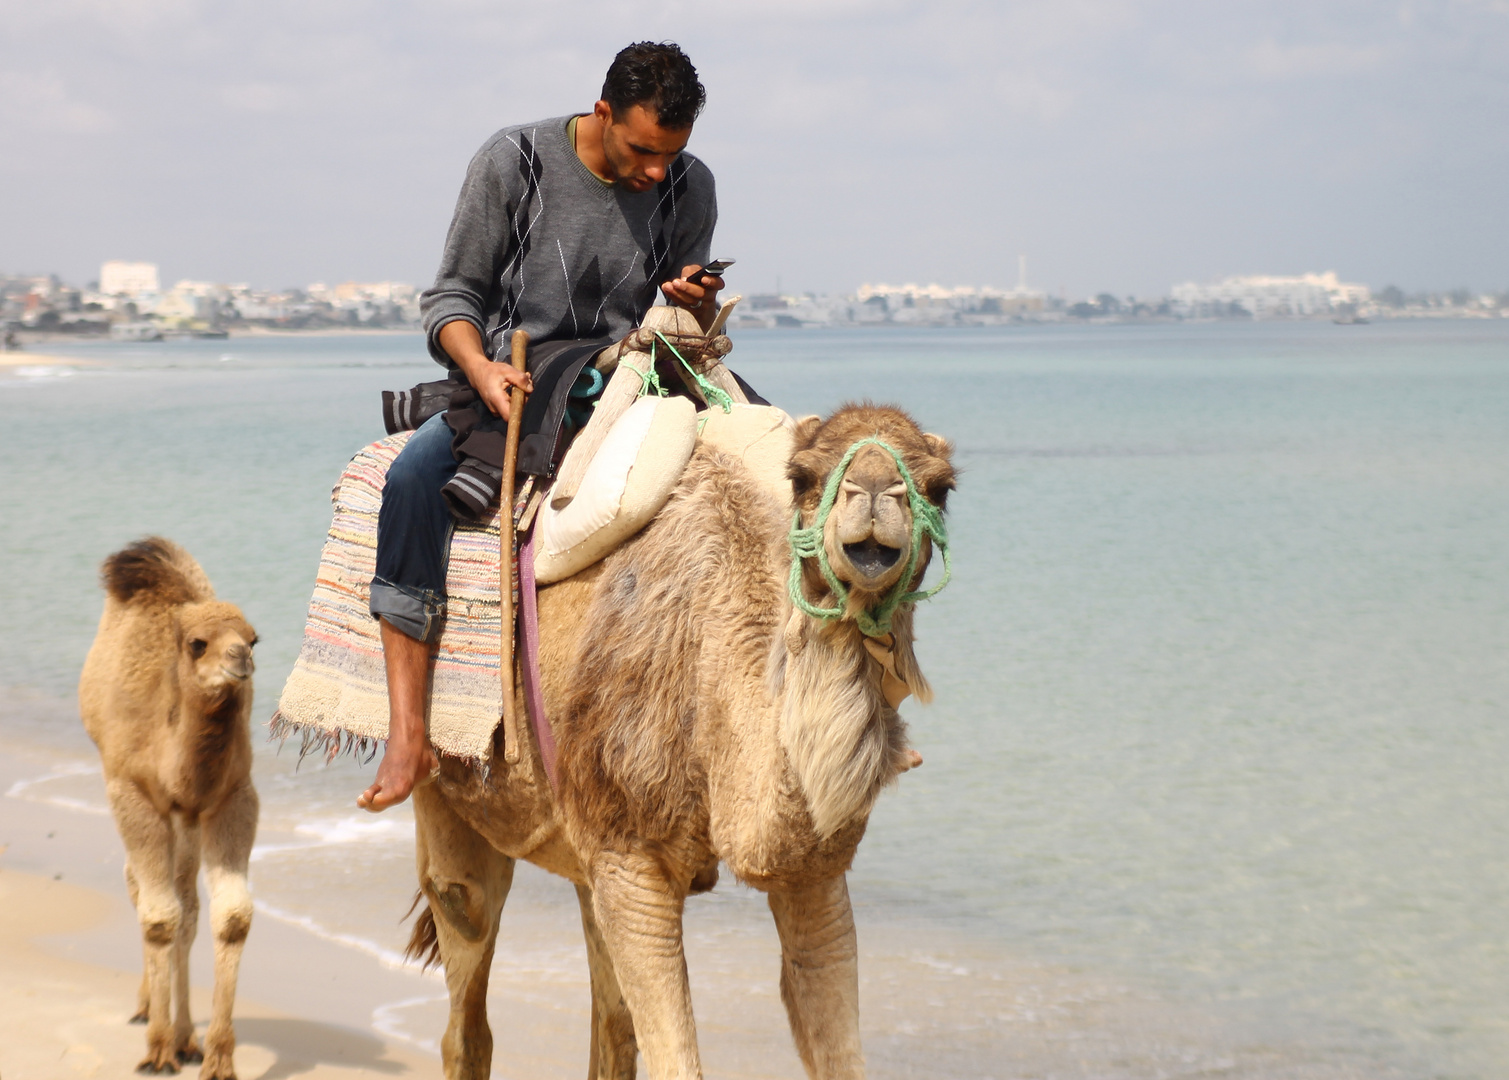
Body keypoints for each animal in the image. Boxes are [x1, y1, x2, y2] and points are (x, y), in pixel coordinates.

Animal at [80, 540, 259, 1080]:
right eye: (198, 644)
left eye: (254, 638)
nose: (241, 657)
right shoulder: (133, 792)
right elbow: (158, 917)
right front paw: (157, 1051)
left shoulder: (228, 796)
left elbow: (230, 917)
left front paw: (216, 1057)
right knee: (144, 891)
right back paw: (150, 1016)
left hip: (188, 819)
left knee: (188, 904)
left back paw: (186, 1038)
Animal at [410, 398, 953, 1080]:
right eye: (802, 476)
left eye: (941, 487)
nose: (876, 491)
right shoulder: (628, 849)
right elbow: (677, 1058)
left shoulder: (814, 875)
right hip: (444, 786)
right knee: (467, 960)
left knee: (608, 1016)